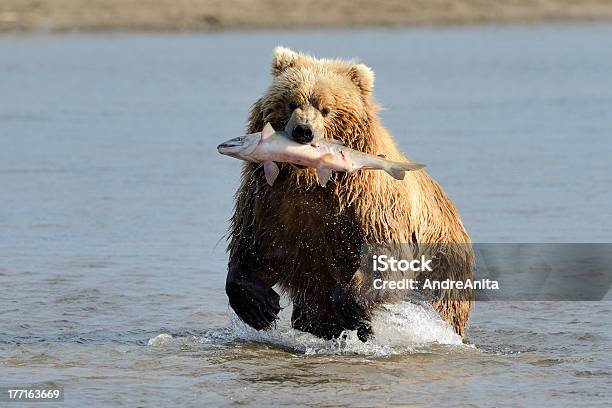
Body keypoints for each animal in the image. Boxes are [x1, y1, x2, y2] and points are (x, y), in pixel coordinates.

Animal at [225, 47, 474, 342]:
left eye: (326, 108)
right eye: (291, 102)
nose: (303, 131)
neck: (308, 181)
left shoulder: (366, 202)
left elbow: (383, 250)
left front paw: (353, 307)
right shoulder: (270, 198)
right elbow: (256, 242)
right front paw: (260, 306)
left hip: (442, 265)